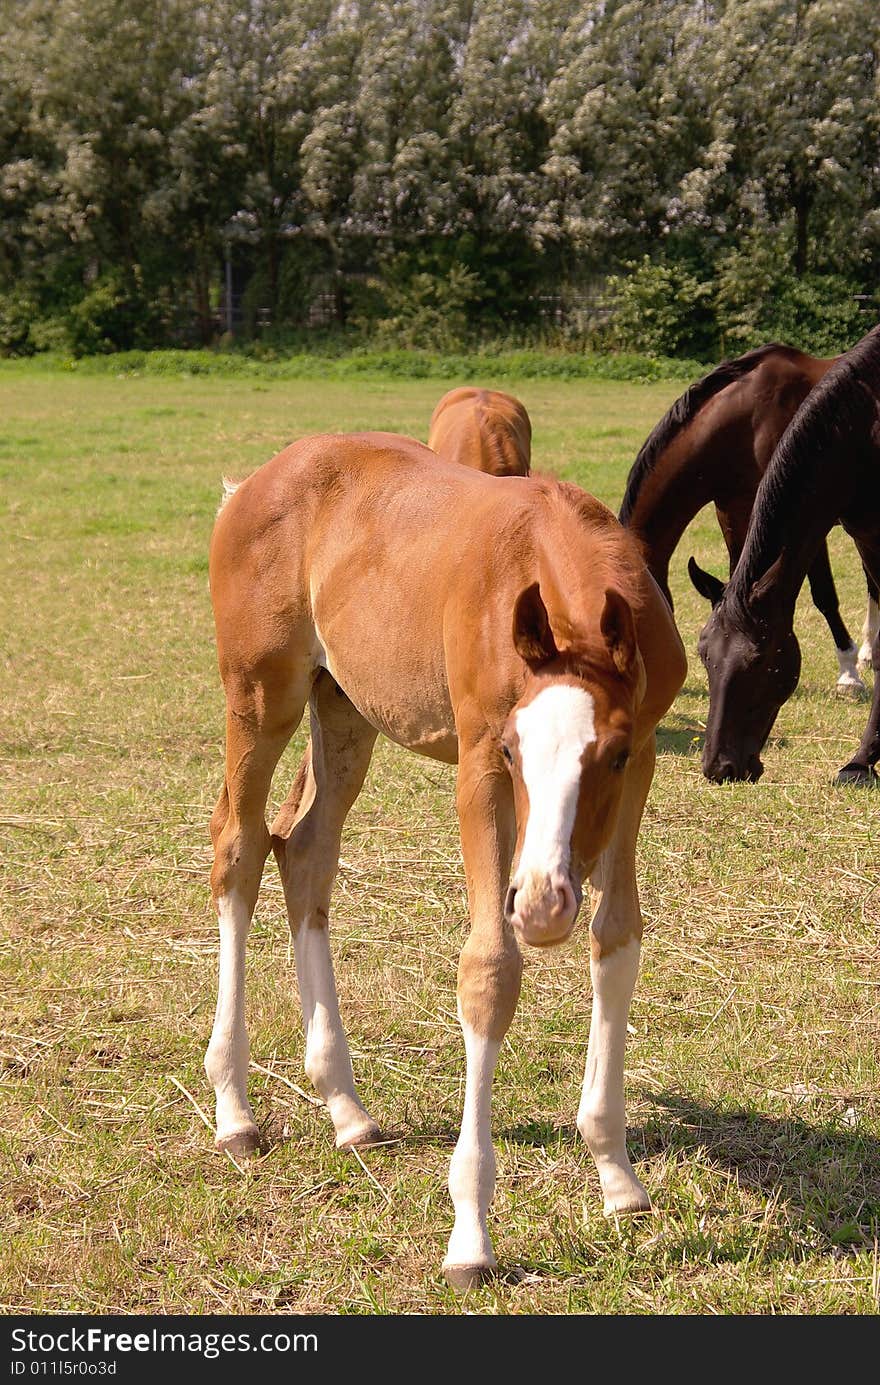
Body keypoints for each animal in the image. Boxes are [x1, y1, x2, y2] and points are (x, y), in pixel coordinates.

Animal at [207, 432, 687, 1285]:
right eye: (514, 750)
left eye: (613, 753)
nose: (543, 903)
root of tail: (255, 482)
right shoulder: (476, 763)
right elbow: (489, 971)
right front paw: (471, 1233)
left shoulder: (647, 761)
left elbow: (618, 938)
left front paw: (617, 1173)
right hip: (262, 695)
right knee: (238, 846)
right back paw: (234, 1110)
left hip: (344, 706)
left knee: (304, 850)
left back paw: (347, 1108)